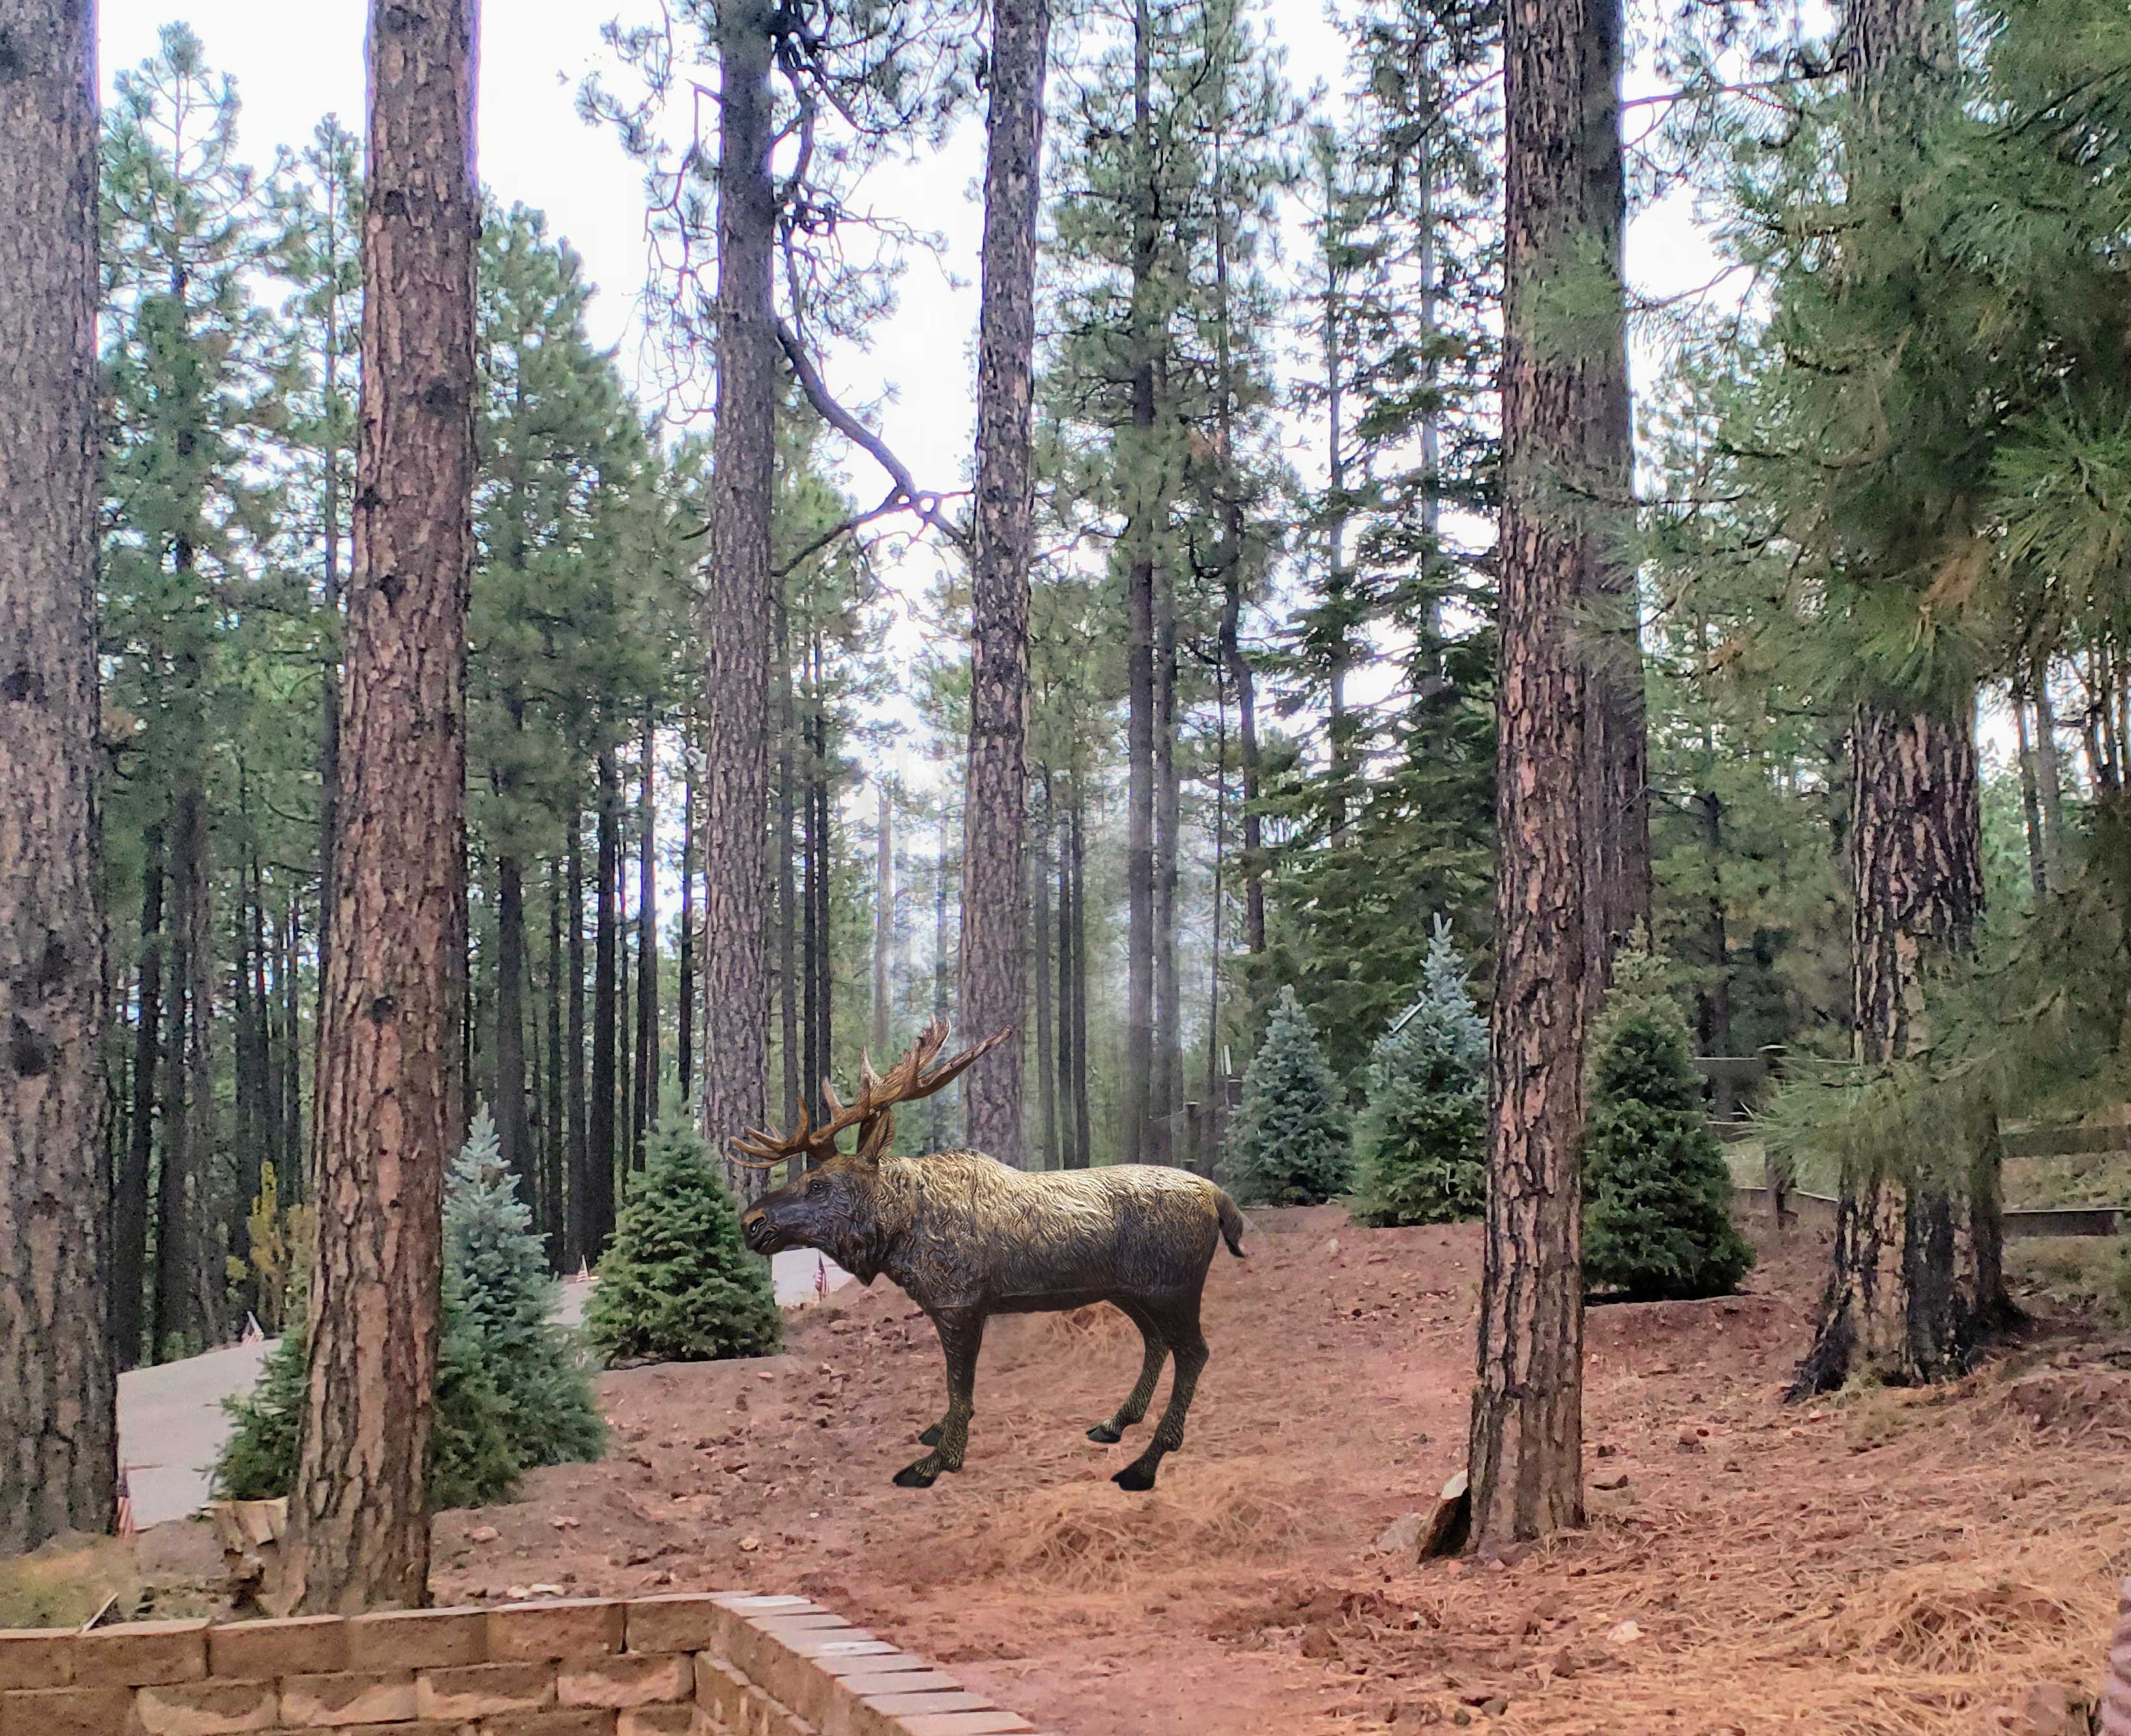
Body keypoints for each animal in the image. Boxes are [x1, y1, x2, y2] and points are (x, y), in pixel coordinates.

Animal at [731, 1020, 1246, 1492]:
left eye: (819, 1184)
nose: (751, 1221)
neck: (899, 1234)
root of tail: (1219, 1198)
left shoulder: (959, 1305)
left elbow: (958, 1386)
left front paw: (938, 1461)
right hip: (1131, 1291)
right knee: (1156, 1343)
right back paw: (1116, 1423)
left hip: (1172, 1288)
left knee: (1195, 1352)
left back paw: (1147, 1462)